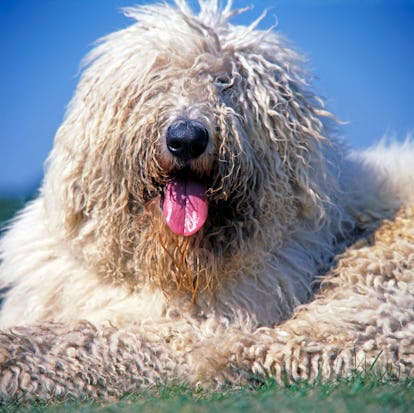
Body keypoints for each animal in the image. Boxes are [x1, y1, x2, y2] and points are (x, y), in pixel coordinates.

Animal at [0, 0, 414, 400]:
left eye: (227, 83)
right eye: (157, 78)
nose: (186, 138)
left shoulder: (186, 329)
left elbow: (85, 339)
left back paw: (222, 361)